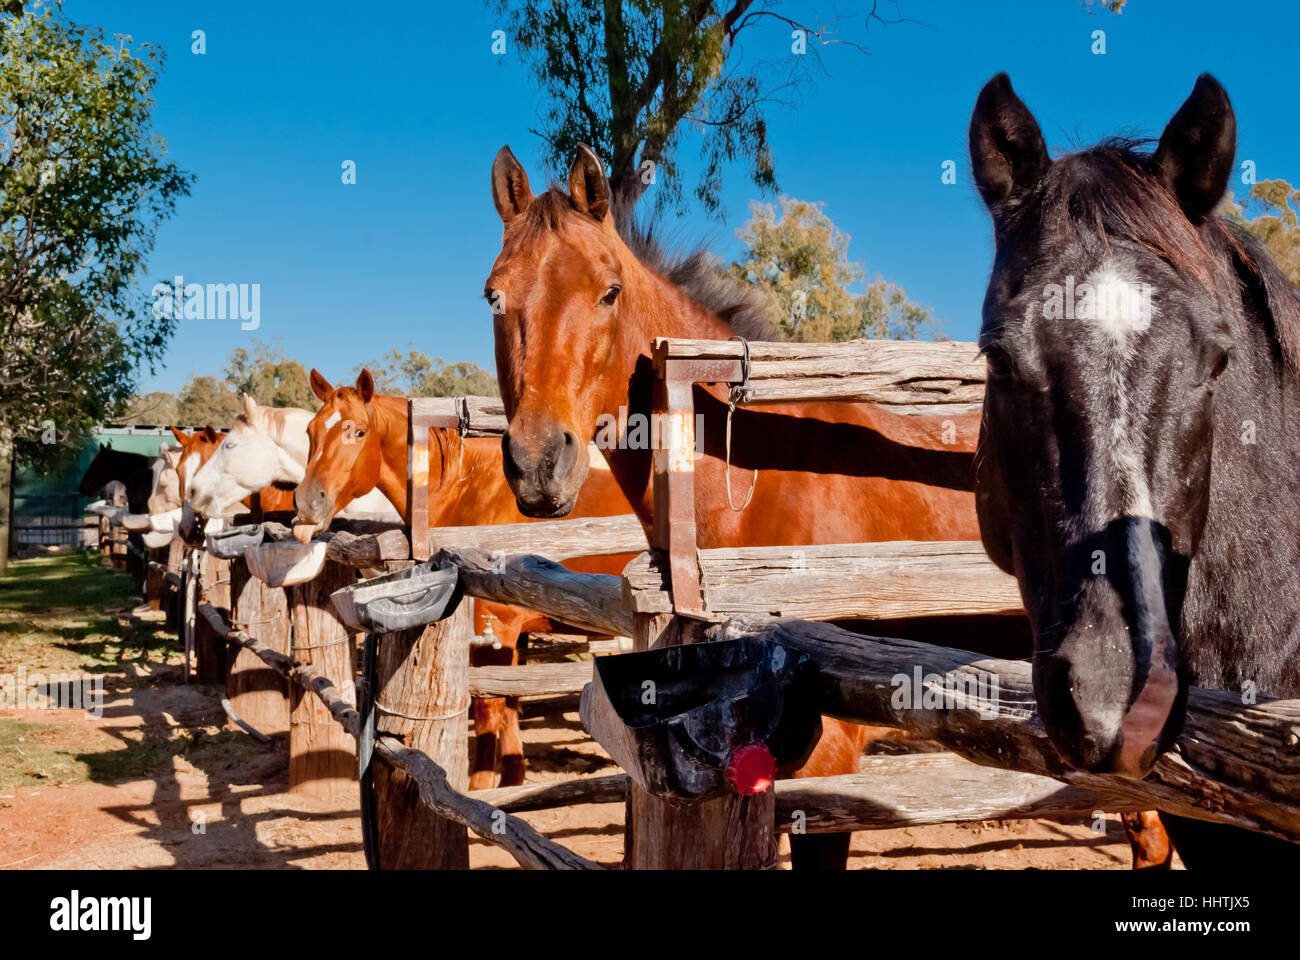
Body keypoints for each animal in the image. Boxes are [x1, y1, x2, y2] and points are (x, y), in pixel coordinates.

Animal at [296, 366, 639, 785]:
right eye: (311, 431)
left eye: (358, 432)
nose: (307, 503)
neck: (470, 488)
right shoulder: (512, 635)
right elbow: (510, 703)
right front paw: (512, 777)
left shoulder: (496, 628)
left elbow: (489, 708)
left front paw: (483, 786)